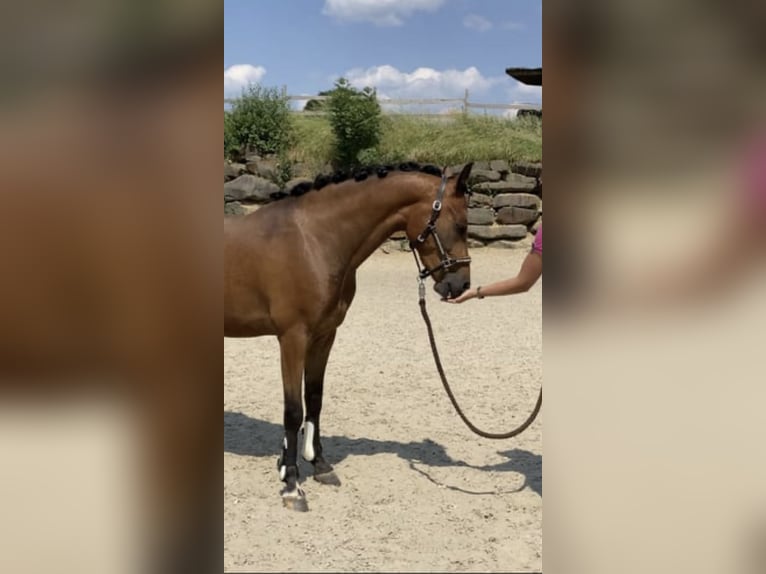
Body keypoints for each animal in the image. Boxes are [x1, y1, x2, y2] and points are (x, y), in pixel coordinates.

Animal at [222, 161, 474, 512]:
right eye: (461, 225)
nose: (460, 285)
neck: (314, 240)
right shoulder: (293, 337)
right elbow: (293, 409)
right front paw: (291, 485)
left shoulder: (324, 335)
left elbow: (314, 398)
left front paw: (318, 465)